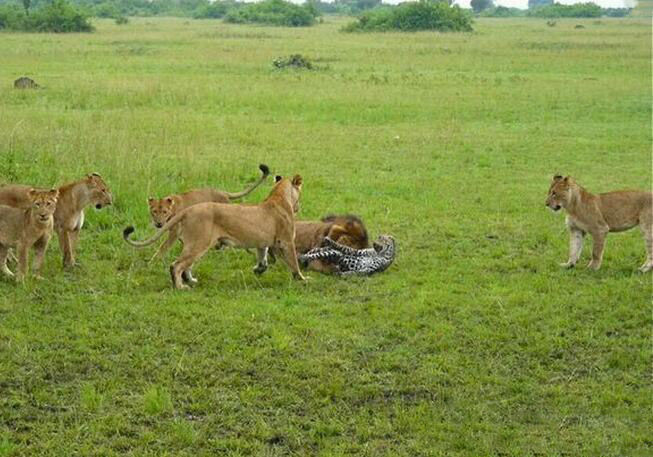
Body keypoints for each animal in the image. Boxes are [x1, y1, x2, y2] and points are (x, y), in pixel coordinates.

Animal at [126, 175, 306, 288]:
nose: (298, 207)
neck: (279, 197)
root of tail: (188, 210)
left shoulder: (262, 241)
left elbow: (263, 257)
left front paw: (259, 269)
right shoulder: (286, 241)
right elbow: (294, 262)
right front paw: (302, 279)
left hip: (195, 244)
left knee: (186, 265)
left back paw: (191, 281)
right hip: (200, 243)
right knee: (176, 265)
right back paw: (181, 286)